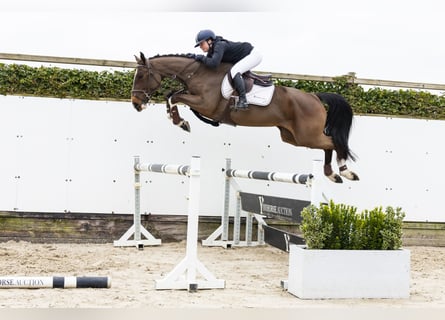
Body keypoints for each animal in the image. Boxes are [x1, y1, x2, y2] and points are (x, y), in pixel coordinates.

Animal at [130, 52, 360, 182]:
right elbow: (172, 95)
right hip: (292, 137)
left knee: (332, 142)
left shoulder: (206, 104)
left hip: (306, 135)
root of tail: (314, 96)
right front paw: (179, 120)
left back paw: (345, 172)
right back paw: (332, 174)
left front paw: (181, 122)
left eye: (141, 75)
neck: (198, 73)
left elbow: (174, 97)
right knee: (327, 144)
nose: (135, 103)